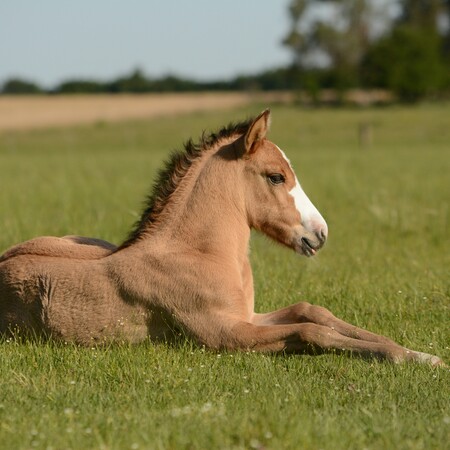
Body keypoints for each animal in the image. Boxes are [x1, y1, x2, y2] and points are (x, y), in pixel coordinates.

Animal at [0, 110, 442, 366]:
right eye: (276, 176)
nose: (320, 234)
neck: (199, 254)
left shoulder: (247, 316)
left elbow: (313, 311)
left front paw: (416, 352)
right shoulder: (224, 334)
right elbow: (309, 331)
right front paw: (405, 358)